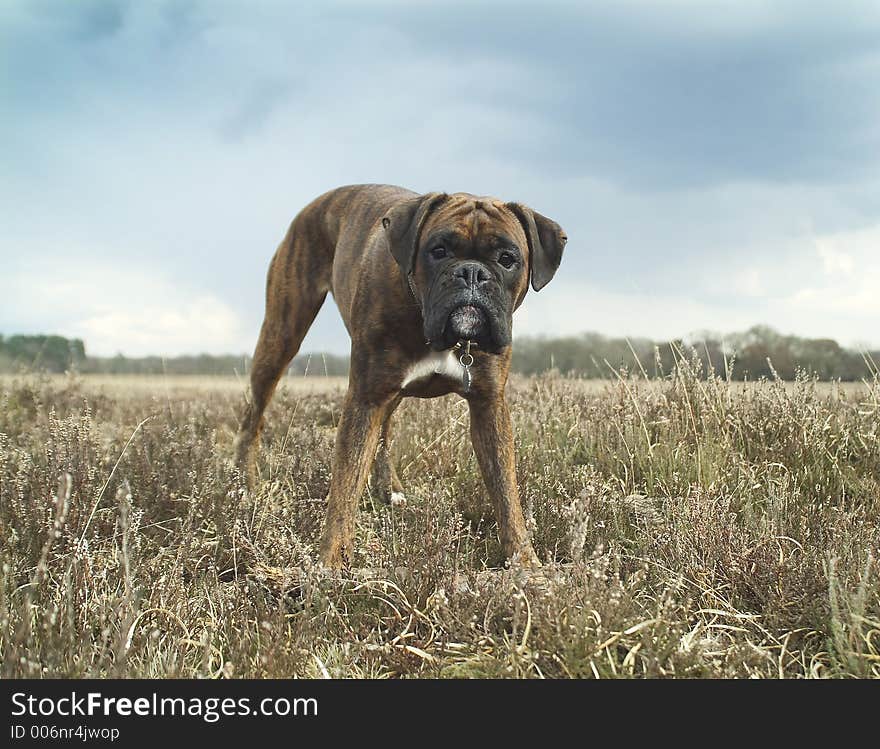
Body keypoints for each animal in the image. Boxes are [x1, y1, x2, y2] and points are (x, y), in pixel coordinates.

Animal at [235, 184, 564, 568]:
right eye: (438, 251)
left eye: (507, 258)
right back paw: (244, 484)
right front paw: (330, 564)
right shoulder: (365, 398)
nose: (471, 273)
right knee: (254, 417)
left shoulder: (489, 406)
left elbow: (506, 493)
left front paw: (526, 564)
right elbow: (345, 483)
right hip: (281, 336)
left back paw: (388, 489)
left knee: (384, 432)